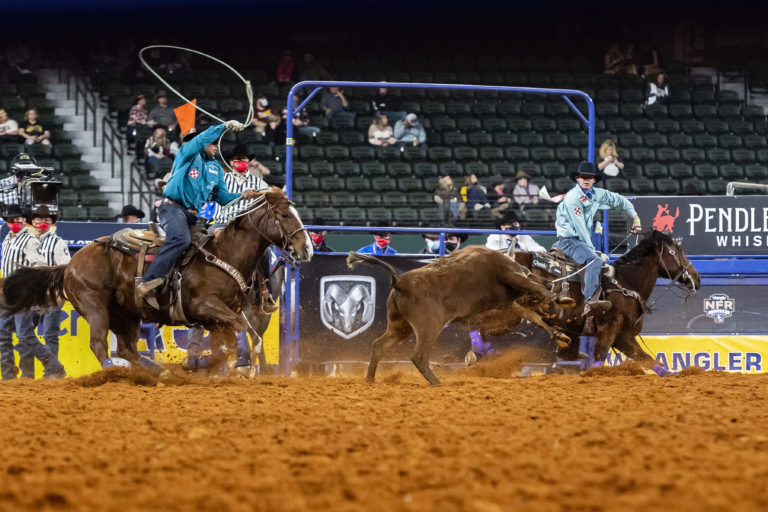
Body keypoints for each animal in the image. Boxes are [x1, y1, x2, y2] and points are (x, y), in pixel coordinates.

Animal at [0, 186, 312, 374]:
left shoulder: (220, 317)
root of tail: (70, 263)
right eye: (285, 215)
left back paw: (155, 371)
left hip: (125, 314)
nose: (307, 248)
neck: (223, 254)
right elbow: (240, 332)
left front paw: (221, 367)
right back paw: (117, 371)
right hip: (95, 306)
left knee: (127, 348)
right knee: (100, 344)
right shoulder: (207, 306)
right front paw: (240, 367)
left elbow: (240, 339)